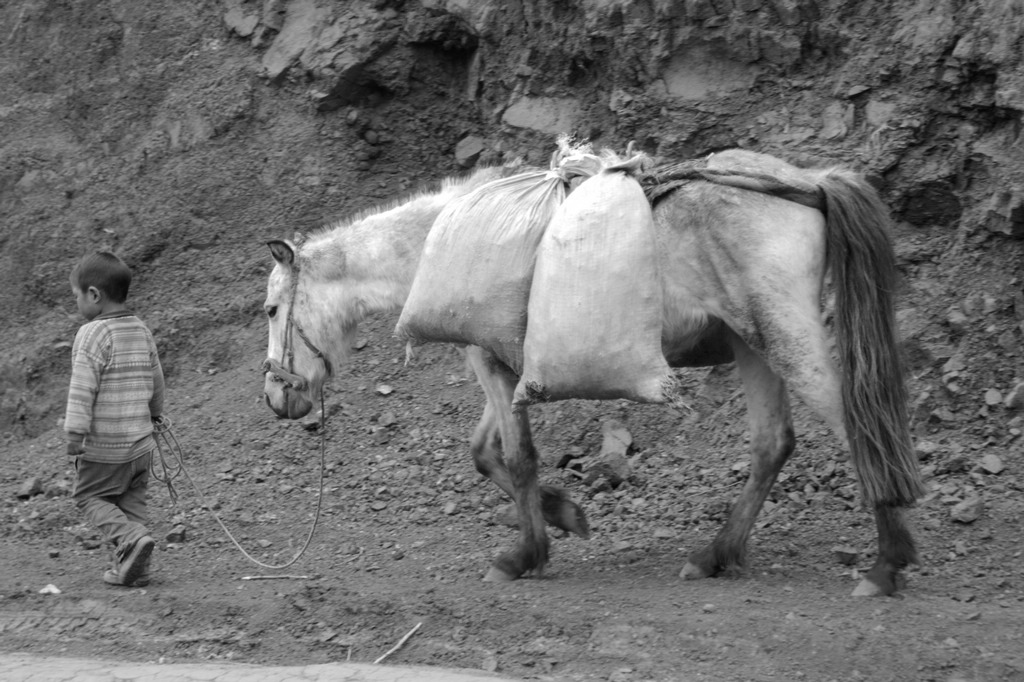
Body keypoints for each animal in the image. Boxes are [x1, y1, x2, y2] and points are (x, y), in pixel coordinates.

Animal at [260, 148, 925, 593]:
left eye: (270, 309)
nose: (275, 397)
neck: (436, 239)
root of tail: (807, 182)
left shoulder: (490, 364)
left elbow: (518, 457)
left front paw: (523, 555)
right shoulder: (504, 367)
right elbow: (485, 453)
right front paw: (564, 515)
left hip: (785, 337)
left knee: (854, 425)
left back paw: (885, 565)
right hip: (751, 345)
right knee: (773, 444)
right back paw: (715, 555)